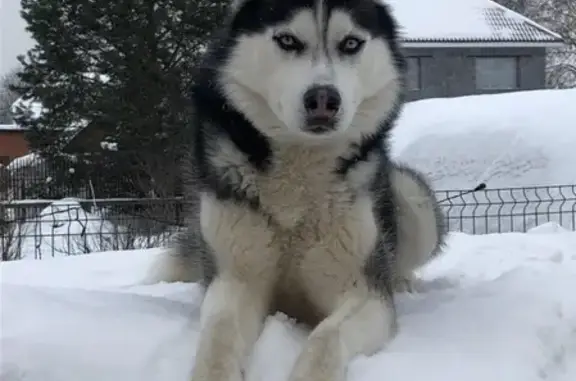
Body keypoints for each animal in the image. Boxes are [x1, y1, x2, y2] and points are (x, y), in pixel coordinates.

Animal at [148, 0, 446, 380]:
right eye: (288, 40)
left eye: (351, 43)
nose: (323, 99)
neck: (299, 174)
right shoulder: (235, 279)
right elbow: (219, 336)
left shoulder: (363, 291)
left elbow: (326, 338)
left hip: (411, 197)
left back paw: (403, 280)